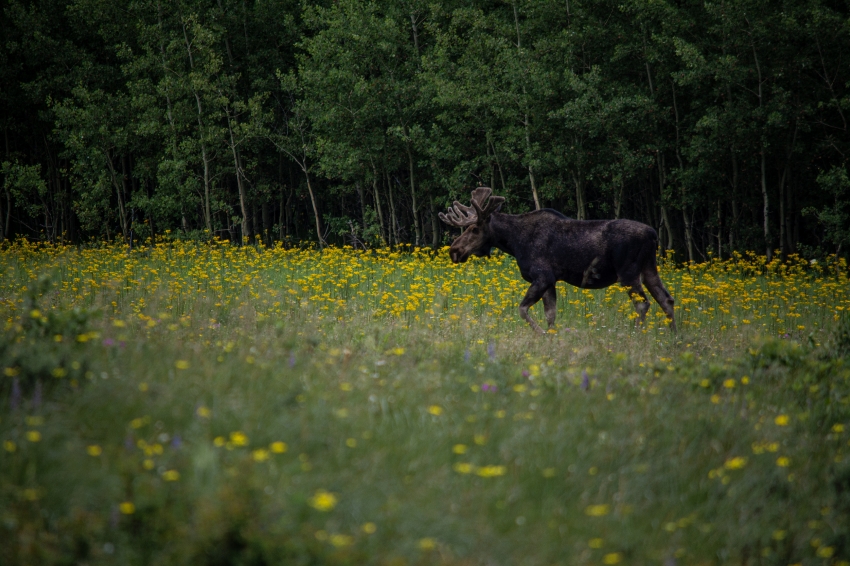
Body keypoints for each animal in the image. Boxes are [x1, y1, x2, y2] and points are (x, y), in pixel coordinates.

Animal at [438, 189, 676, 336]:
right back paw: (673, 336)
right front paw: (552, 337)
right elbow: (550, 315)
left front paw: (542, 334)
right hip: (649, 269)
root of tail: (654, 235)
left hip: (628, 272)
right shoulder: (550, 281)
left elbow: (522, 310)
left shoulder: (542, 276)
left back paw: (636, 335)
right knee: (666, 299)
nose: (454, 251)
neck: (514, 242)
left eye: (474, 228)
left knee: (643, 303)